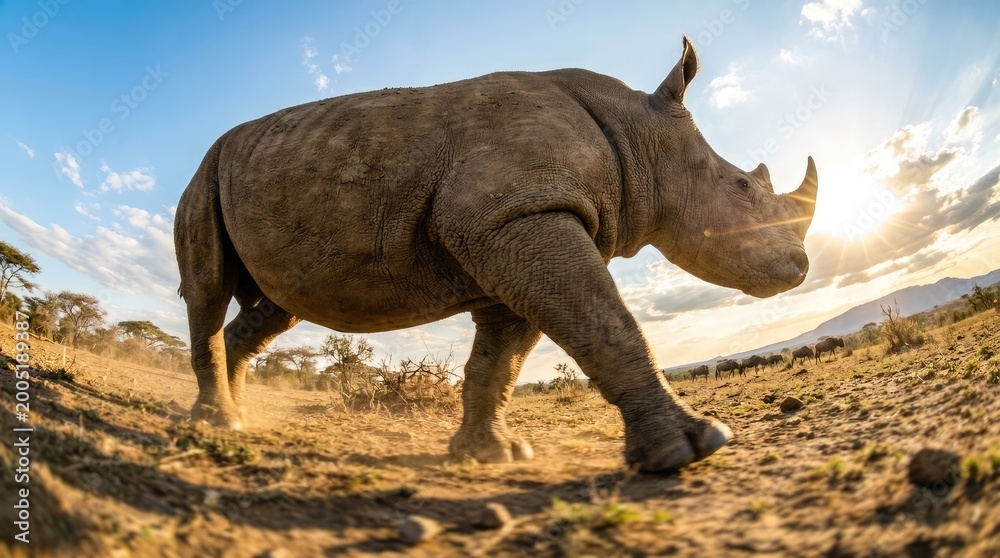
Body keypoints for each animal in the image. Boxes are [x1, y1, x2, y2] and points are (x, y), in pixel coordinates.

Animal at [174, 37, 818, 473]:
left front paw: (491, 455)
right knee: (207, 286)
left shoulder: (511, 225)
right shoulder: (519, 214)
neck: (638, 134)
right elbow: (606, 322)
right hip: (204, 174)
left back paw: (239, 416)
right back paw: (217, 421)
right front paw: (691, 448)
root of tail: (218, 148)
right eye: (742, 187)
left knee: (277, 307)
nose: (801, 269)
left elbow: (500, 362)